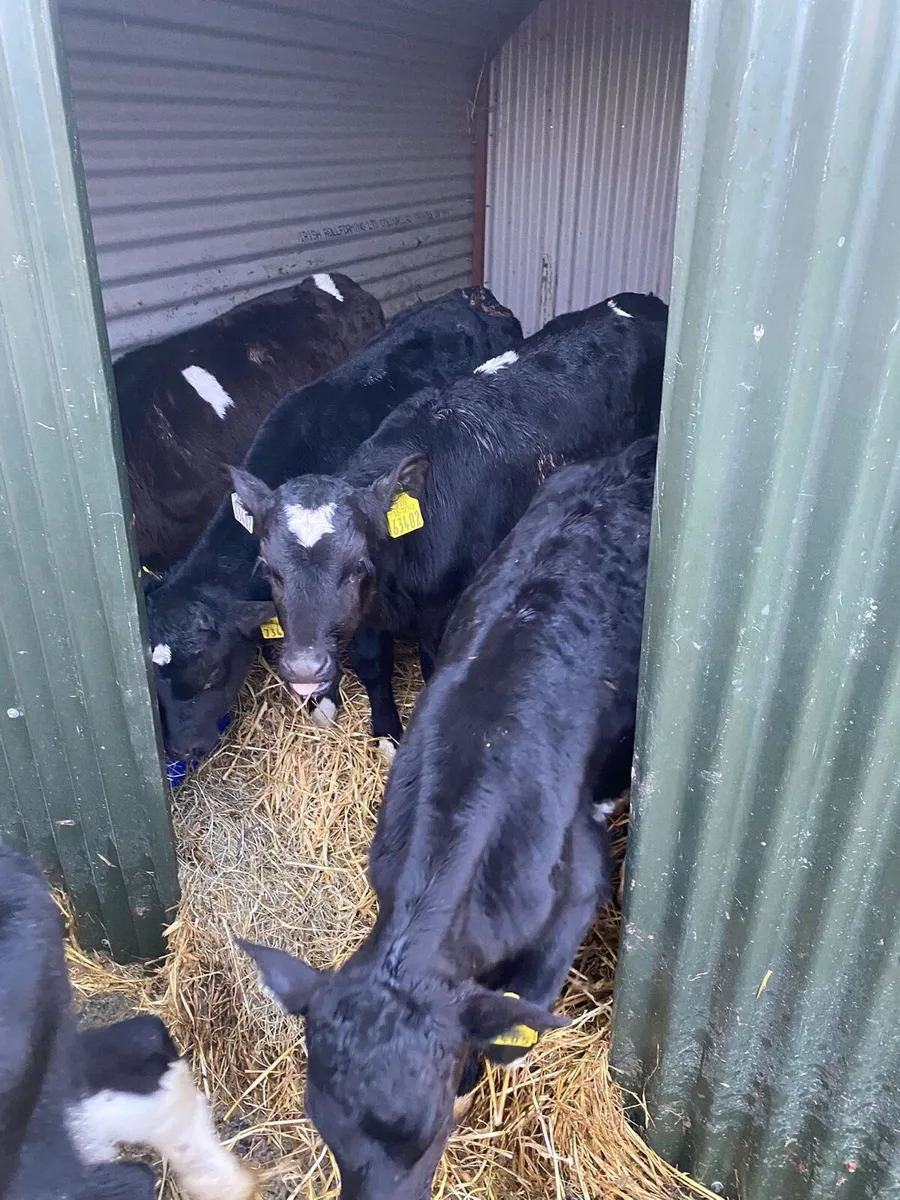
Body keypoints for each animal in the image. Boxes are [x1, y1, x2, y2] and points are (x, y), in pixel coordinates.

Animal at [144, 287, 523, 762]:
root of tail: (473, 296)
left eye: (212, 672)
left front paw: (359, 716)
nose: (182, 750)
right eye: (154, 683)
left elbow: (370, 659)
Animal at [229, 293, 667, 748]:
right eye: (270, 570)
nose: (304, 668)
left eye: (357, 567)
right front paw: (386, 732)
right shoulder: (370, 613)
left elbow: (431, 670)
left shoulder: (448, 610)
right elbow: (372, 663)